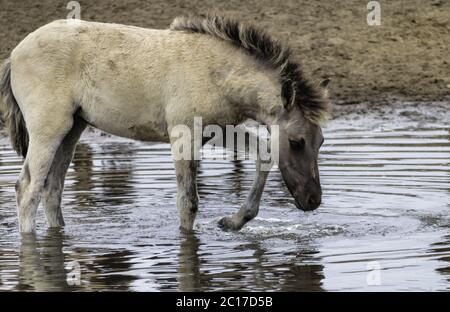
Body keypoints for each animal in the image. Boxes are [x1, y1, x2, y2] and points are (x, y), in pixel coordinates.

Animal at [0, 15, 330, 234]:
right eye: (296, 142)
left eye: (321, 142)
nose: (313, 201)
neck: (215, 72)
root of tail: (14, 54)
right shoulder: (183, 136)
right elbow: (188, 202)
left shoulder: (218, 131)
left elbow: (264, 153)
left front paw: (233, 222)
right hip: (48, 130)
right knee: (27, 189)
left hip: (72, 131)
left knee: (52, 189)